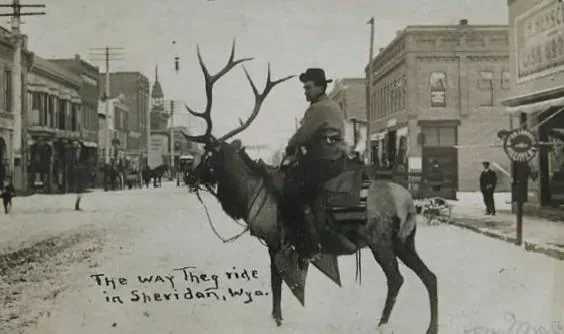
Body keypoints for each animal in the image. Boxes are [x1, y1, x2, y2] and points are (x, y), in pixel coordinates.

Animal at [183, 41, 438, 334]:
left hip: (380, 240)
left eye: (208, 155)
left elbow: (277, 284)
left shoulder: (275, 241)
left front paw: (277, 319)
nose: (188, 175)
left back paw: (382, 323)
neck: (249, 196)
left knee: (397, 279)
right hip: (405, 241)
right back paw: (431, 326)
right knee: (430, 276)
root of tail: (408, 203)